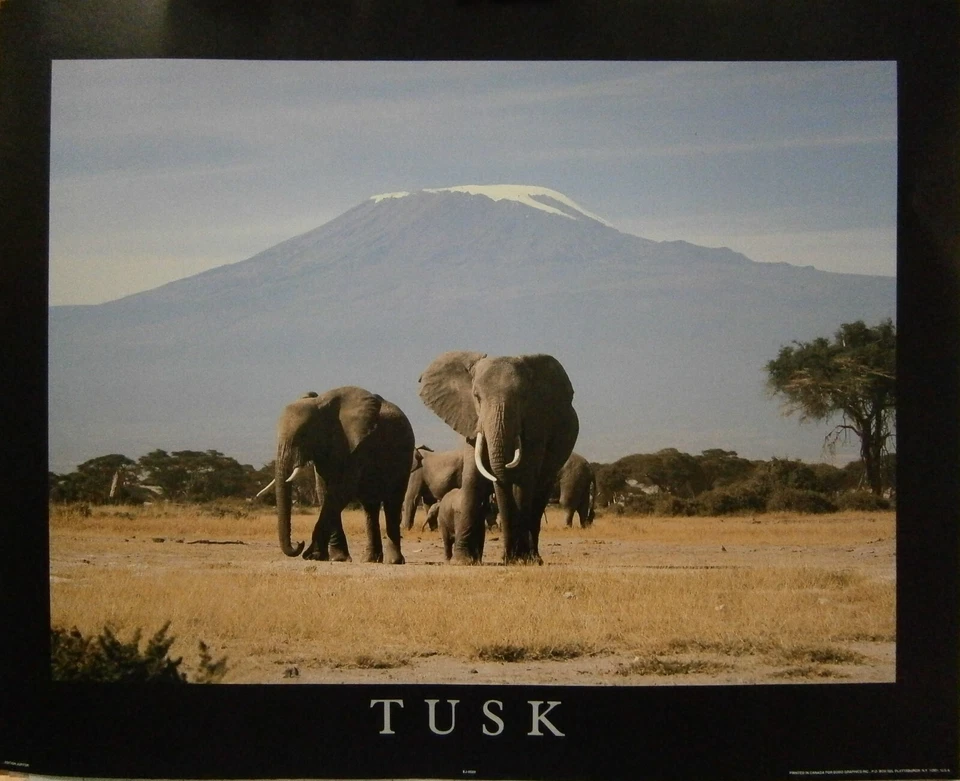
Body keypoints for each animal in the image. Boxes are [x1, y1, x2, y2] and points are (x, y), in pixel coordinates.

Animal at [271, 386, 415, 564]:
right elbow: (325, 491)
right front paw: (336, 558)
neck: (321, 404)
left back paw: (393, 561)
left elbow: (342, 490)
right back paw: (370, 559)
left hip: (404, 455)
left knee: (392, 502)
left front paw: (312, 555)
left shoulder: (359, 445)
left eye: (303, 435)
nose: (299, 543)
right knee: (370, 506)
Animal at [418, 351, 579, 564]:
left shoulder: (536, 426)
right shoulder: (472, 422)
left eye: (523, 398)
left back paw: (533, 558)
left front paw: (519, 559)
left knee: (538, 497)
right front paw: (463, 561)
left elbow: (523, 481)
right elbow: (473, 481)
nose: (508, 556)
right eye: (476, 397)